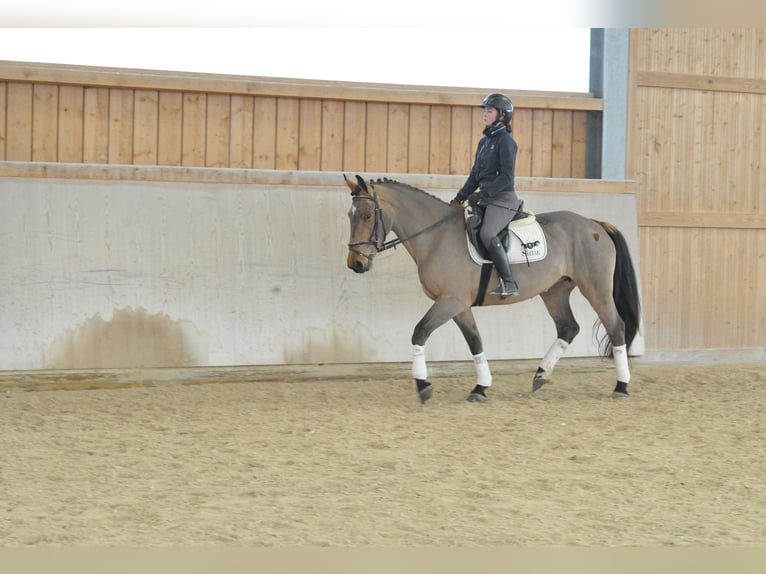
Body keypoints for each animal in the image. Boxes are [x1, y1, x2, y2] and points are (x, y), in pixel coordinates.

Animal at [344, 174, 641, 403]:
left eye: (367, 215)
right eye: (350, 216)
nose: (355, 264)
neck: (436, 237)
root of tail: (594, 224)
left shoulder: (450, 300)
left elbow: (420, 332)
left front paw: (423, 385)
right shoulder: (459, 305)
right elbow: (475, 341)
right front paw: (480, 387)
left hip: (596, 288)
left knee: (616, 326)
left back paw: (621, 386)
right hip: (555, 291)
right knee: (568, 327)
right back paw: (541, 375)